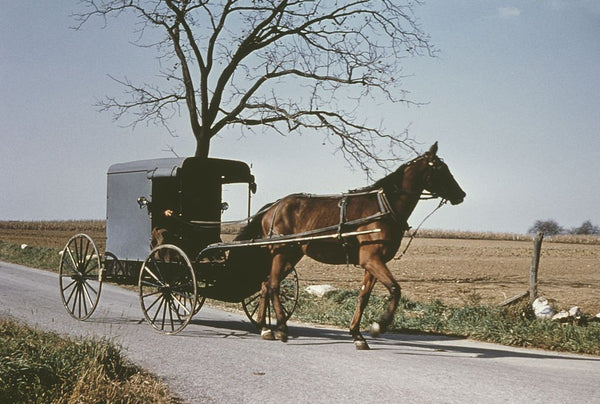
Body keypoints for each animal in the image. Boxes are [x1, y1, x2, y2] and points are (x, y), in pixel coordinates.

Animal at [237, 143, 466, 350]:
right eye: (440, 169)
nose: (461, 194)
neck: (384, 207)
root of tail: (273, 206)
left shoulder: (372, 264)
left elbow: (363, 297)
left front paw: (357, 335)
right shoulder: (371, 259)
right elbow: (395, 289)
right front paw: (379, 325)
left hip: (292, 255)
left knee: (265, 284)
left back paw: (264, 327)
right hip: (282, 252)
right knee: (274, 285)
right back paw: (281, 328)